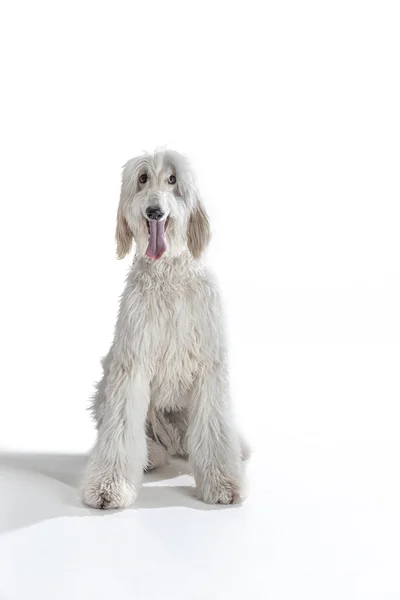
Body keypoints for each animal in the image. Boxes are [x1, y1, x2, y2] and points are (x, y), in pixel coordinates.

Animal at [81, 148, 247, 508]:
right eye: (143, 178)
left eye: (173, 179)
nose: (154, 211)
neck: (168, 274)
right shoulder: (130, 363)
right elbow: (120, 426)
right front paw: (109, 487)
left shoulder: (209, 365)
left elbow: (215, 428)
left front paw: (223, 483)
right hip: (107, 388)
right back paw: (151, 455)